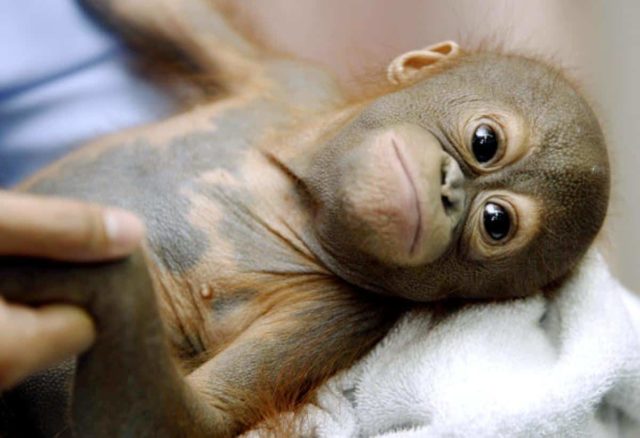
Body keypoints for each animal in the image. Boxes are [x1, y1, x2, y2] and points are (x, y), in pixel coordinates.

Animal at [0, 0, 610, 436]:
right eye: (484, 142)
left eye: (495, 223)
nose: (448, 188)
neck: (299, 203)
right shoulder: (293, 82)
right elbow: (164, 13)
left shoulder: (336, 318)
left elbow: (191, 417)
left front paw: (89, 266)